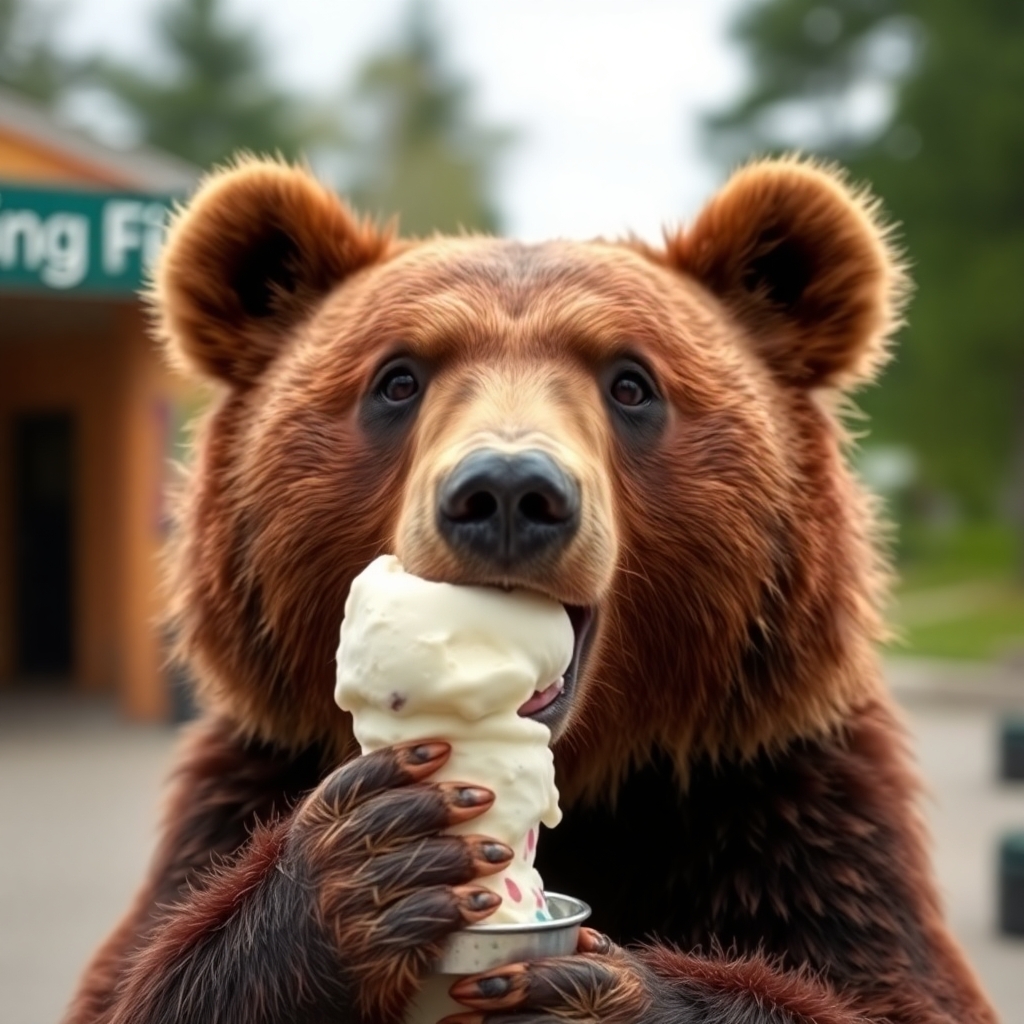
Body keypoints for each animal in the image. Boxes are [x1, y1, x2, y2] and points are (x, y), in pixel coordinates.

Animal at [64, 156, 997, 1024]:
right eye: (397, 379)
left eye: (632, 382)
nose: (509, 492)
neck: (597, 780)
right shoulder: (241, 786)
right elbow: (144, 981)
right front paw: (373, 864)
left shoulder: (790, 819)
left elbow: (880, 992)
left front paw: (596, 986)